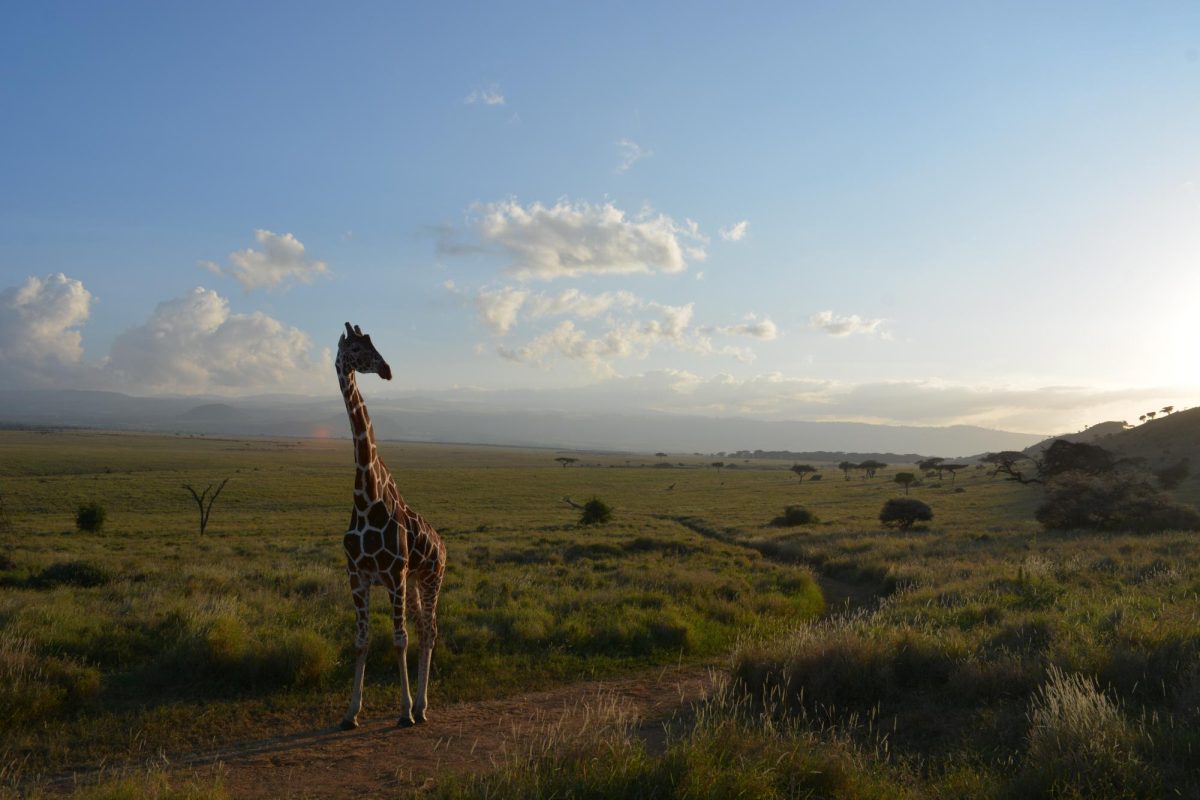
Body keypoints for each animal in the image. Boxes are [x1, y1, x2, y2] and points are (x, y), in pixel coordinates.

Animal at [333, 321, 446, 729]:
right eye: (356, 348)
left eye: (374, 343)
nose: (387, 369)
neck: (366, 498)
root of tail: (444, 545)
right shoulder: (358, 576)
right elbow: (362, 641)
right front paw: (351, 712)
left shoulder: (394, 575)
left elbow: (400, 639)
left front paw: (404, 710)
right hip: (413, 583)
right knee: (423, 627)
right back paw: (420, 704)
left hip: (430, 578)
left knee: (428, 631)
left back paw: (422, 706)